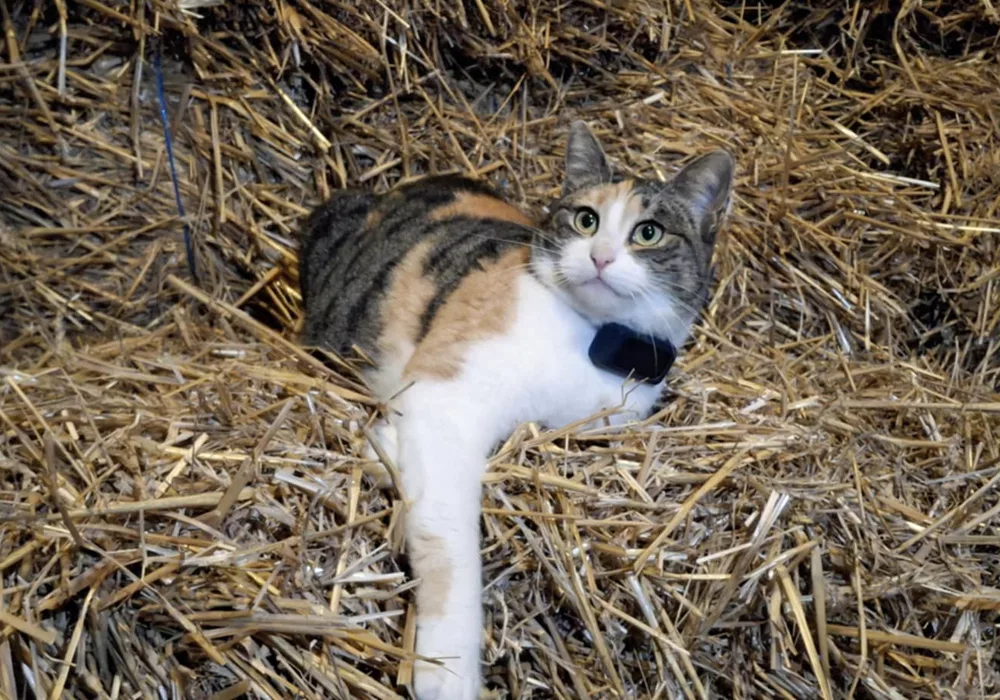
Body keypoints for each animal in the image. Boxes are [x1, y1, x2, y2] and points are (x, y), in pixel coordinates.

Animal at [298, 120, 734, 699]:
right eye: (586, 219)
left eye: (648, 232)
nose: (600, 256)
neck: (593, 343)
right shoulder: (445, 398)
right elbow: (449, 544)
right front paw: (448, 672)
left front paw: (385, 446)